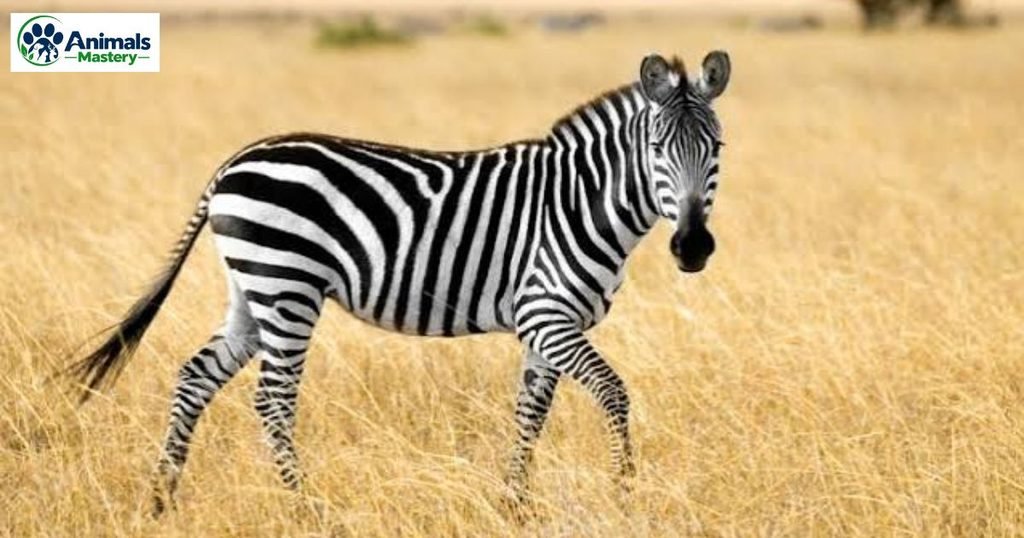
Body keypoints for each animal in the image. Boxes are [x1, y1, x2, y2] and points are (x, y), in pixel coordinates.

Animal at [67, 51, 731, 515]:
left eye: (717, 147)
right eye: (656, 148)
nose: (693, 247)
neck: (579, 201)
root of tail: (235, 160)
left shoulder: (547, 326)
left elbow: (531, 413)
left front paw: (514, 505)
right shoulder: (546, 313)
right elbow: (614, 393)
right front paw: (625, 494)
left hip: (252, 290)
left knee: (195, 377)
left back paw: (162, 498)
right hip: (288, 286)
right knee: (273, 400)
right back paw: (305, 509)